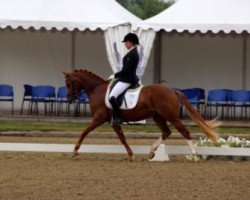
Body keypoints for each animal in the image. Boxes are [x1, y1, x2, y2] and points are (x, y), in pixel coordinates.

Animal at [64, 69, 219, 160]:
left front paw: (75, 150)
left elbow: (85, 132)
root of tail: (172, 90)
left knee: (184, 131)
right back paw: (151, 152)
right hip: (158, 117)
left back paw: (194, 155)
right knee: (166, 132)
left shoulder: (99, 118)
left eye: (69, 83)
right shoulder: (113, 122)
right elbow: (122, 138)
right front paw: (131, 154)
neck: (97, 90)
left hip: (171, 117)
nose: (70, 99)